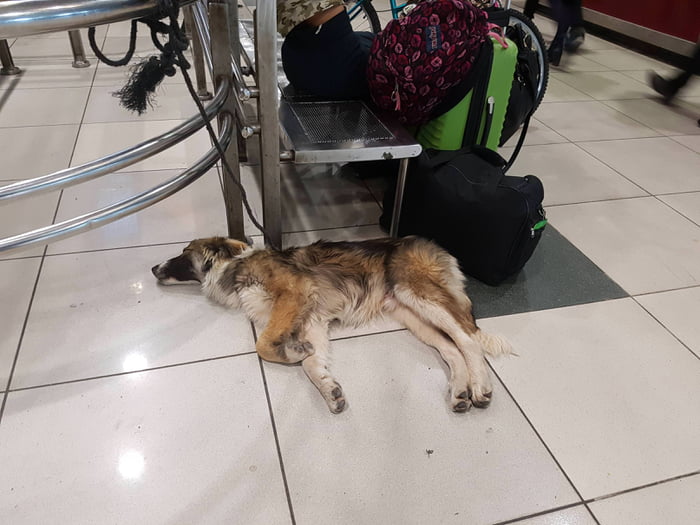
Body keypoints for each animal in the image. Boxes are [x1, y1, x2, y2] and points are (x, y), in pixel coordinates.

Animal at [153, 235, 512, 412]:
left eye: (183, 252)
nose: (154, 267)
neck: (235, 265)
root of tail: (435, 246)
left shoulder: (295, 292)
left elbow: (263, 344)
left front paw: (292, 353)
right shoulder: (312, 320)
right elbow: (313, 364)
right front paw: (328, 389)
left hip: (420, 294)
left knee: (468, 340)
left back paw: (480, 386)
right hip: (411, 313)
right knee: (451, 349)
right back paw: (459, 392)